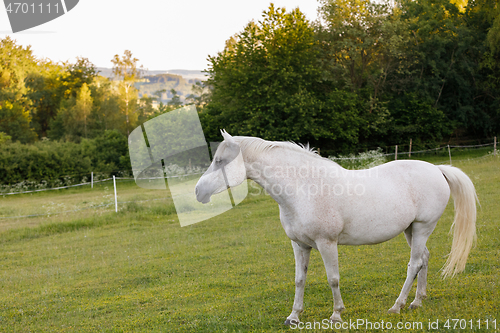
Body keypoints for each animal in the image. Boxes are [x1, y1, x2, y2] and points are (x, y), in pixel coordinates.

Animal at [194, 131, 476, 322]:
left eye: (220, 161)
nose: (198, 191)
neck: (305, 188)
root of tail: (437, 169)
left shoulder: (326, 244)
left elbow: (333, 278)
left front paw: (336, 314)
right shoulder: (300, 245)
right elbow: (299, 279)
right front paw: (294, 316)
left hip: (422, 228)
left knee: (414, 264)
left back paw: (397, 306)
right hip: (412, 230)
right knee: (424, 259)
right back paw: (417, 301)